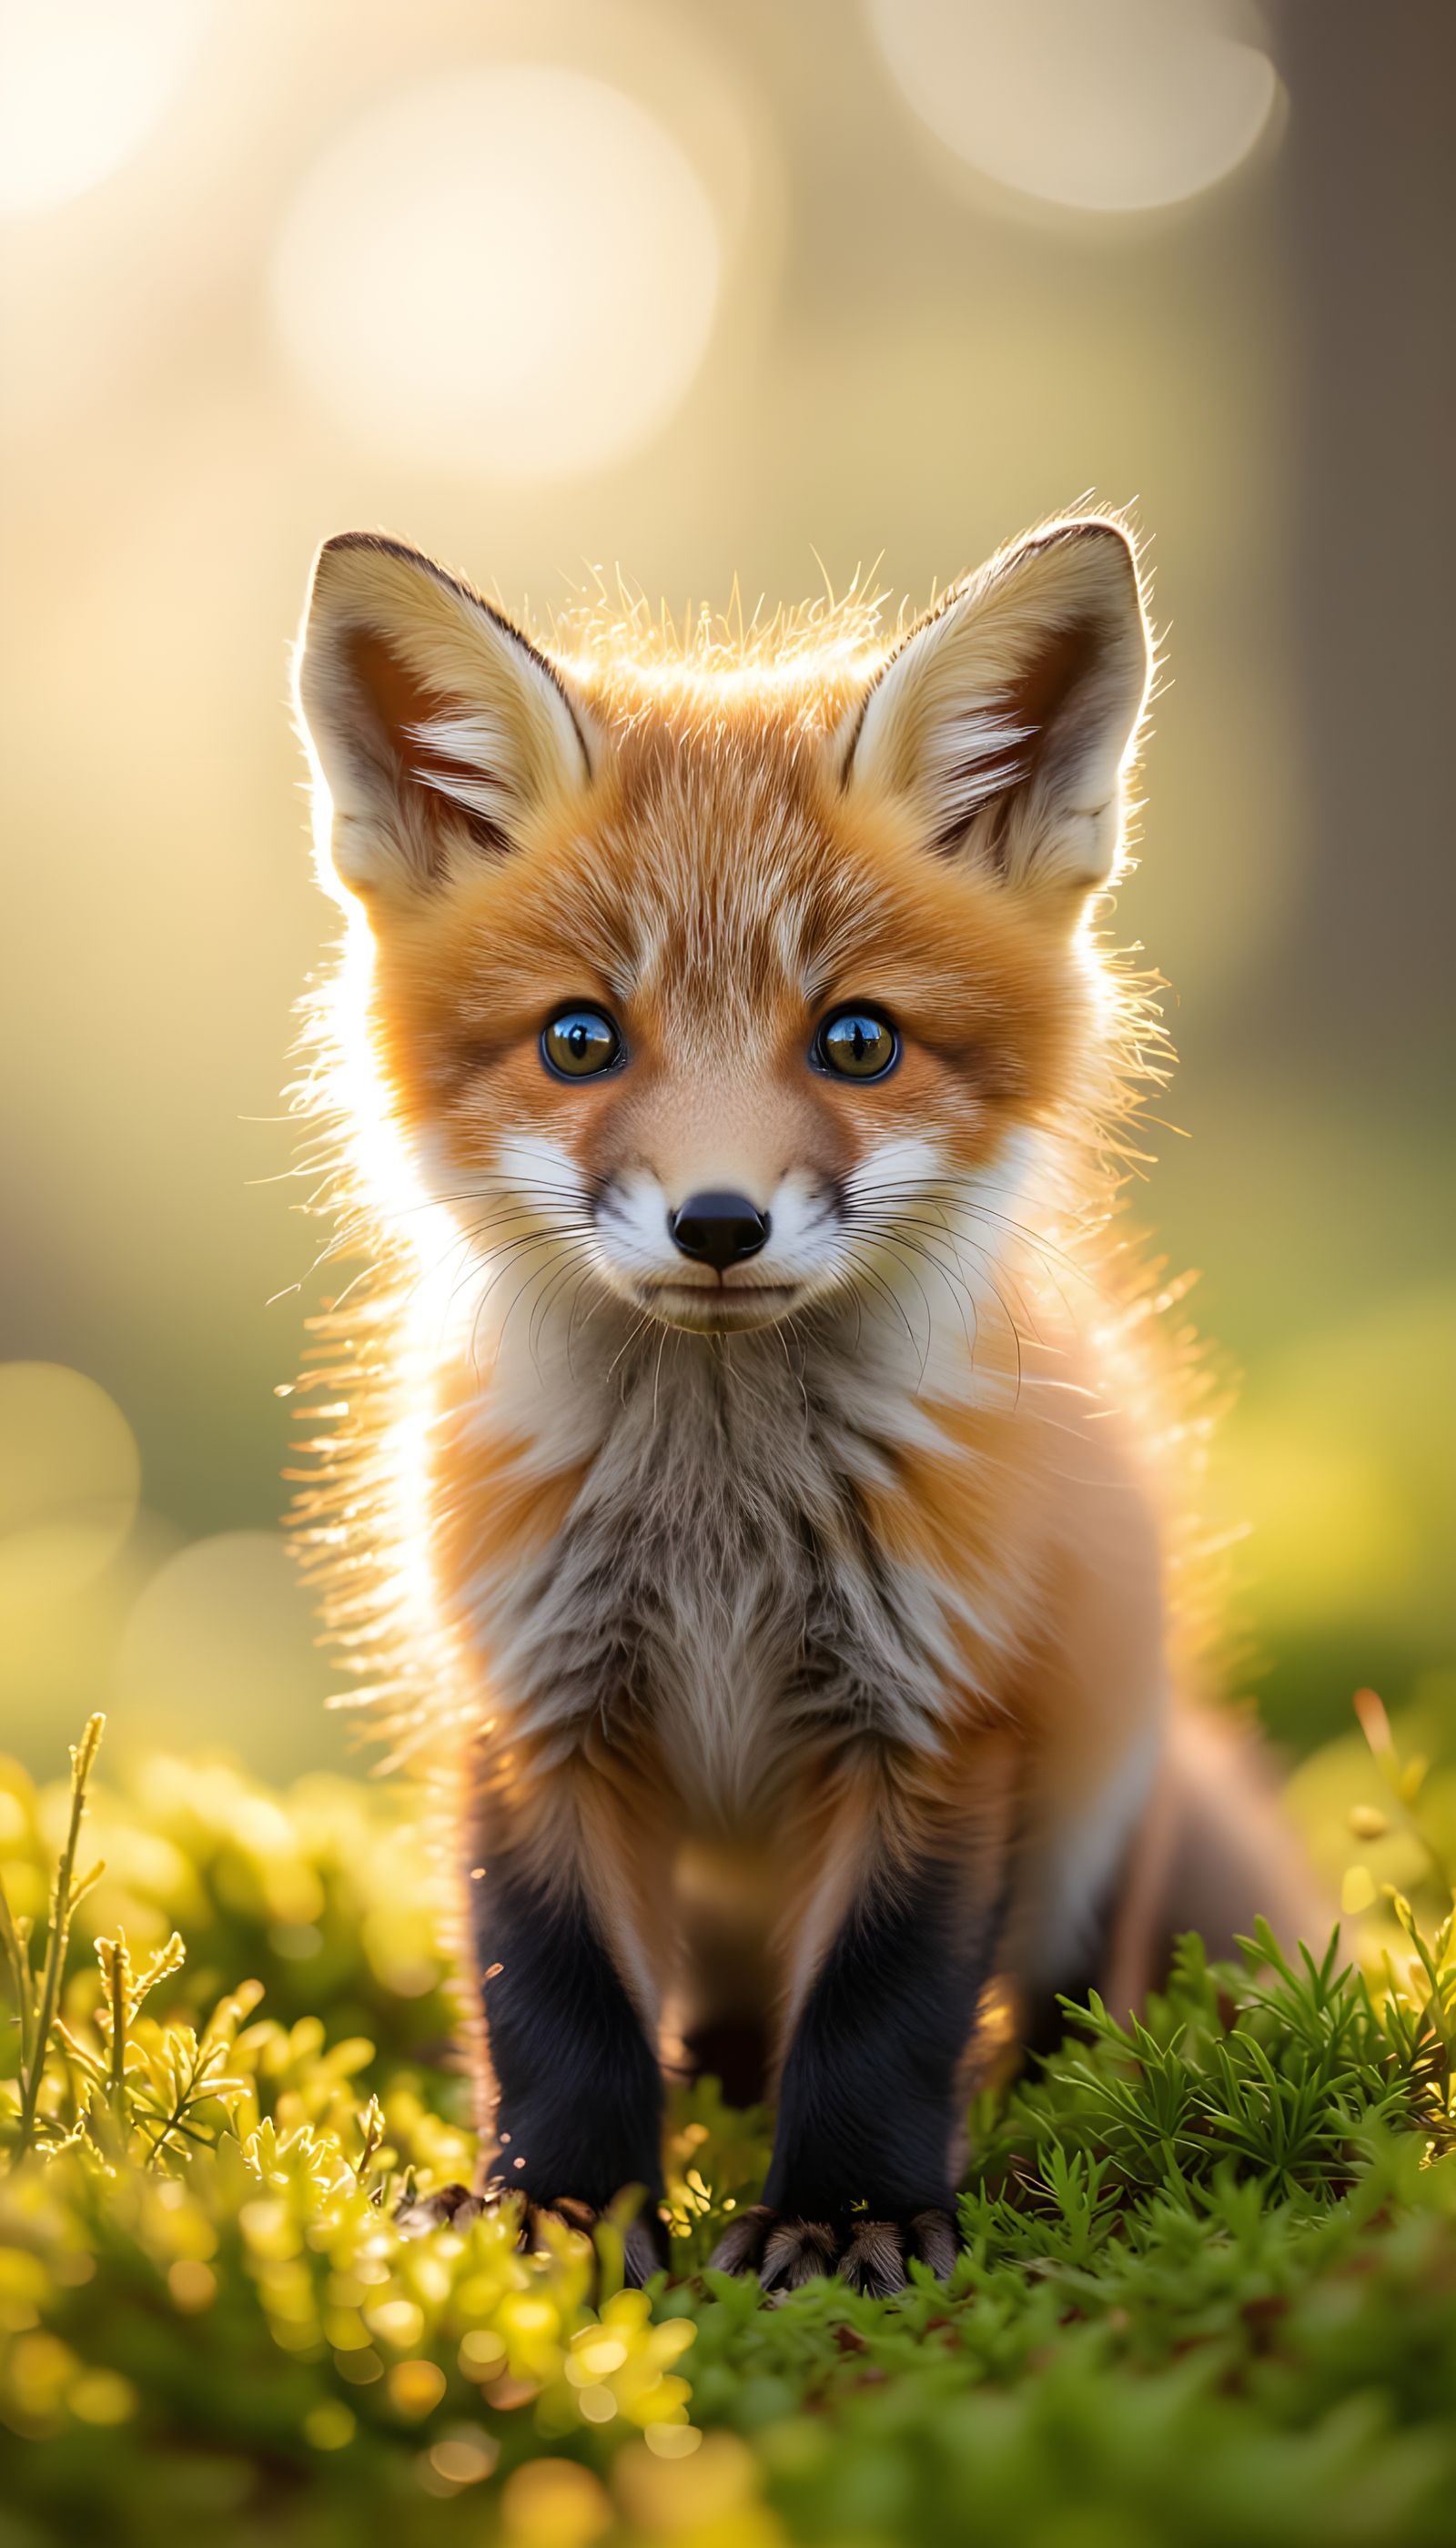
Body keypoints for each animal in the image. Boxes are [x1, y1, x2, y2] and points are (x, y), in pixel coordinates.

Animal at [290, 514, 1315, 2295]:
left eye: (858, 1042)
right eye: (581, 1039)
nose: (718, 1225)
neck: (718, 1527)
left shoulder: (943, 1709)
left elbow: (884, 2007)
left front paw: (850, 2219)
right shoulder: (537, 1706)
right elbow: (549, 1998)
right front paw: (558, 2213)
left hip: (1102, 1794)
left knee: (1052, 2007)